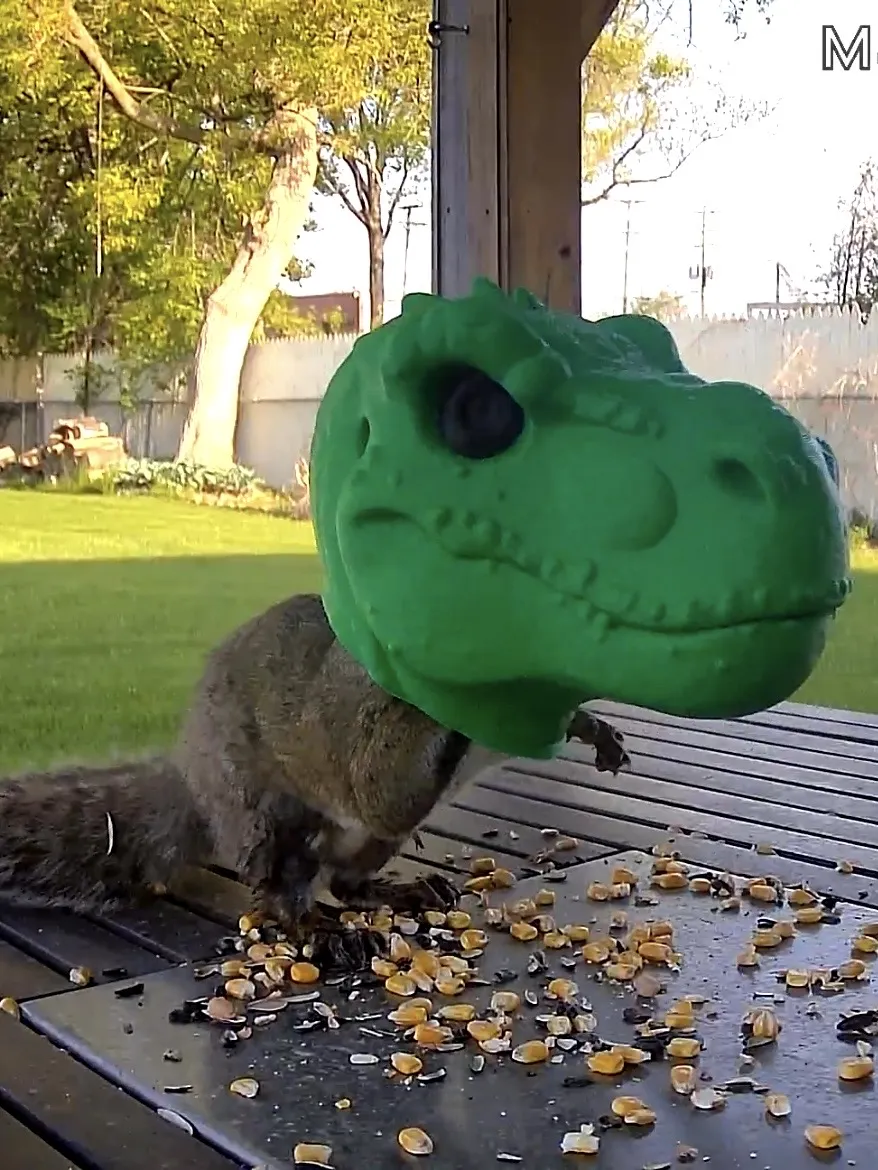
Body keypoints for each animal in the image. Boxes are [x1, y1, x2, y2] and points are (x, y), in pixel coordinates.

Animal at [0, 593, 628, 921]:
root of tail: (194, 786)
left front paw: (598, 733)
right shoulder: (366, 732)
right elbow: (383, 789)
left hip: (367, 846)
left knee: (348, 883)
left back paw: (401, 891)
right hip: (269, 816)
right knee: (283, 889)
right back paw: (319, 931)